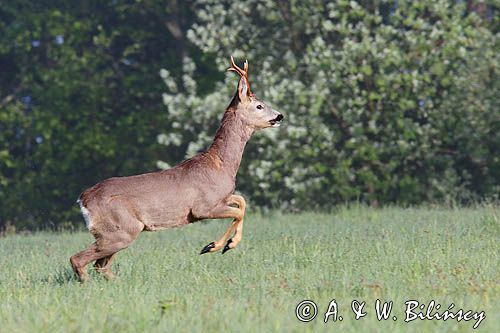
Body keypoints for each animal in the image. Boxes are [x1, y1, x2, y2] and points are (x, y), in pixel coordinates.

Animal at [69, 56, 284, 280]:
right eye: (259, 105)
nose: (280, 116)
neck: (220, 164)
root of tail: (83, 199)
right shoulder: (202, 207)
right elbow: (238, 212)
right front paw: (216, 246)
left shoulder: (222, 198)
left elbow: (241, 202)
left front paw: (224, 245)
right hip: (121, 230)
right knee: (78, 259)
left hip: (117, 233)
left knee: (100, 266)